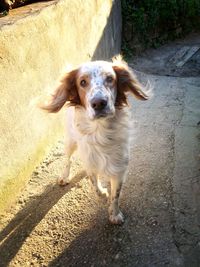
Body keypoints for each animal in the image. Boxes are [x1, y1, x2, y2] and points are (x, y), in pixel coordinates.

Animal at [41, 59, 148, 226]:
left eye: (110, 78)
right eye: (82, 82)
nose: (99, 103)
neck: (101, 132)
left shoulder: (120, 168)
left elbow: (116, 196)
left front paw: (114, 214)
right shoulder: (91, 163)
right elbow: (95, 185)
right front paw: (103, 193)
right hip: (70, 141)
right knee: (67, 159)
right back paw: (64, 176)